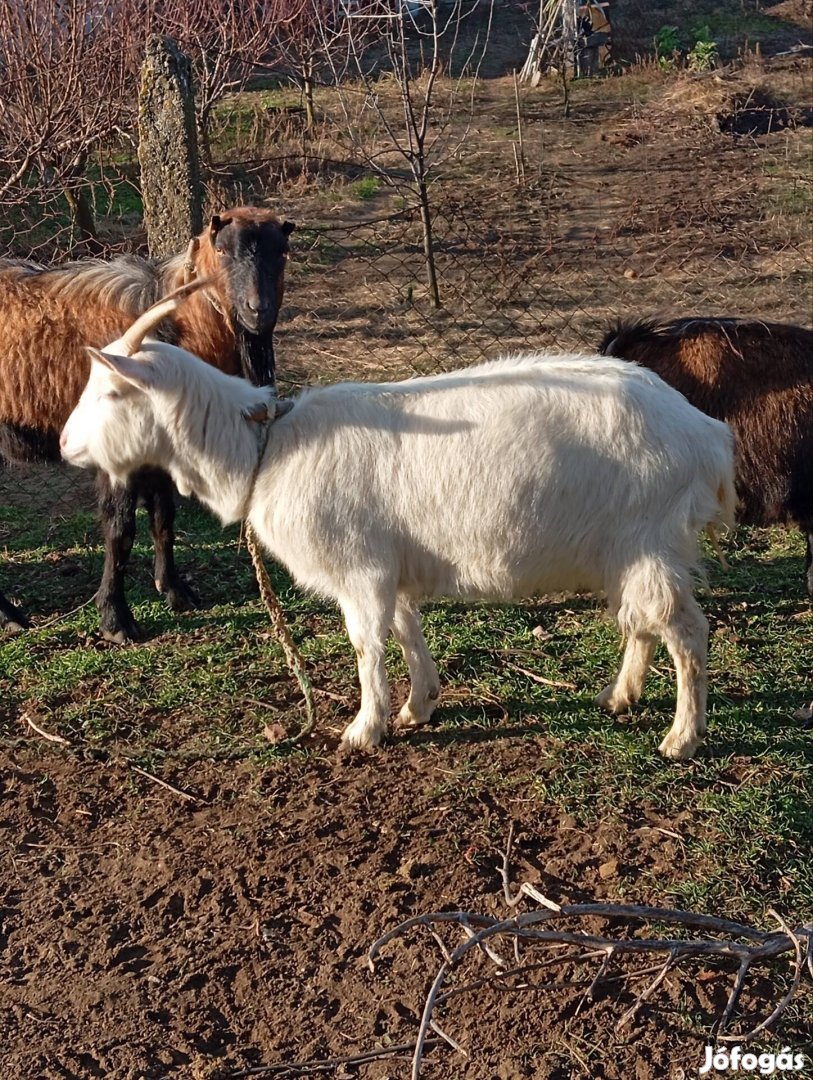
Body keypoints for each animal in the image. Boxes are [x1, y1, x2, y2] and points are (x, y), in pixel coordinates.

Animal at [0, 206, 295, 635]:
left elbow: (163, 517)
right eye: (222, 250)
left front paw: (175, 591)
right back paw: (11, 617)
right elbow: (121, 530)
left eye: (282, 252)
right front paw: (116, 619)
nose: (259, 310)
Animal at [63, 291, 734, 756]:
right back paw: (620, 696)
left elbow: (367, 645)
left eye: (112, 393)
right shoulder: (392, 567)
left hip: (649, 537)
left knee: (686, 631)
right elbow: (407, 630)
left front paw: (364, 728)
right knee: (641, 621)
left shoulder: (360, 569)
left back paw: (683, 737)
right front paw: (418, 706)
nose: (67, 444)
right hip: (629, 550)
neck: (265, 449)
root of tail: (705, 434)